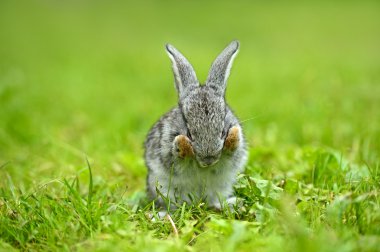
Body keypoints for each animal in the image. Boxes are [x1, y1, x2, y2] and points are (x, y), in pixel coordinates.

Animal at [144, 40, 248, 211]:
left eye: (222, 132)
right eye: (190, 133)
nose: (209, 159)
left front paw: (233, 135)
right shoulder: (167, 154)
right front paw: (182, 143)